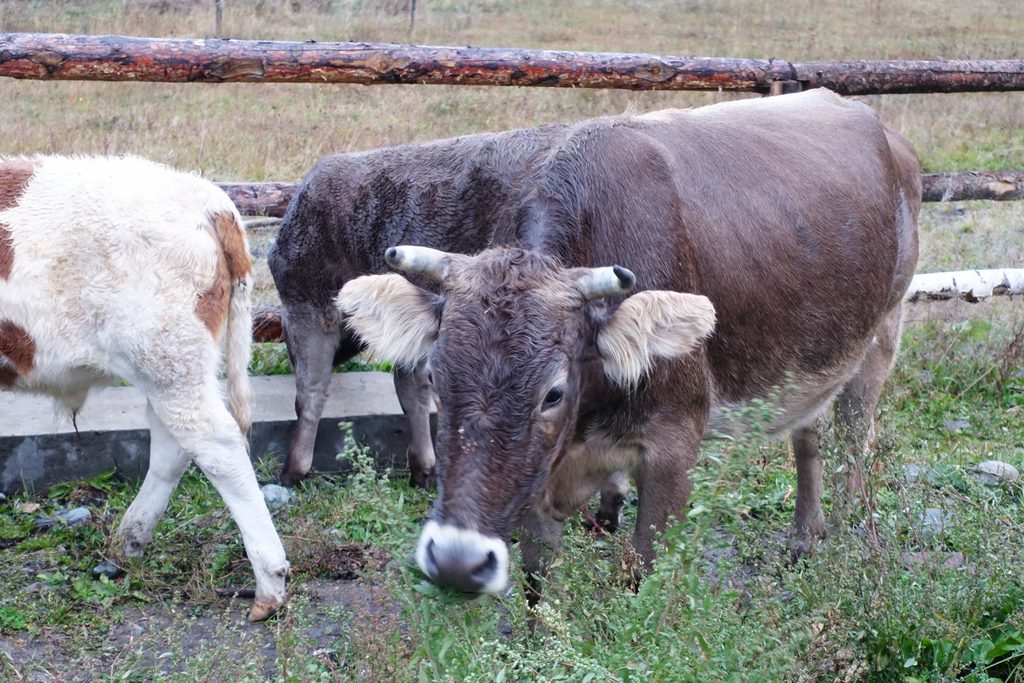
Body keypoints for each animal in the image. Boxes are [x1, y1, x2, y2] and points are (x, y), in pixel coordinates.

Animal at [1, 154, 288, 618]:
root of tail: (208, 196)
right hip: (172, 365)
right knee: (174, 446)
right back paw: (128, 540)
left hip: (166, 359)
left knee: (218, 446)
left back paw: (269, 582)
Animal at [339, 89, 925, 598]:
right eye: (437, 380)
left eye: (553, 393)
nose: (457, 561)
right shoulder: (542, 472)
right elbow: (536, 581)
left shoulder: (674, 446)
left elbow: (638, 575)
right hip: (813, 358)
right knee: (809, 436)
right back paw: (804, 539)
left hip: (882, 333)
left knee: (853, 439)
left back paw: (840, 539)